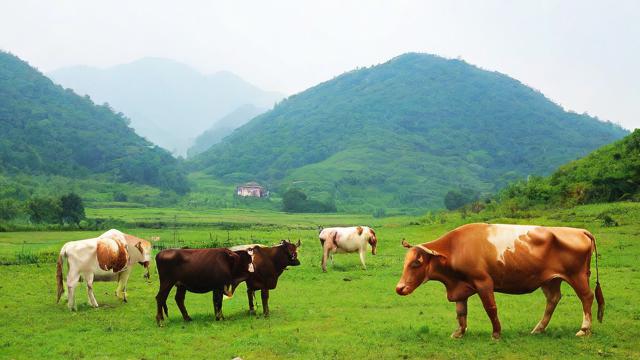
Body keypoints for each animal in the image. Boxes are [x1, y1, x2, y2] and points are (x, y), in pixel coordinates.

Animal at [396, 224, 604, 338]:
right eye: (405, 262)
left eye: (416, 263)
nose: (399, 288)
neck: (456, 247)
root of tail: (580, 231)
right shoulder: (459, 287)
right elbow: (461, 312)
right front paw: (459, 333)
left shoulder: (483, 282)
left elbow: (491, 308)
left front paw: (496, 333)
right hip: (551, 280)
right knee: (553, 299)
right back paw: (538, 328)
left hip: (577, 276)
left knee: (586, 297)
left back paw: (584, 329)